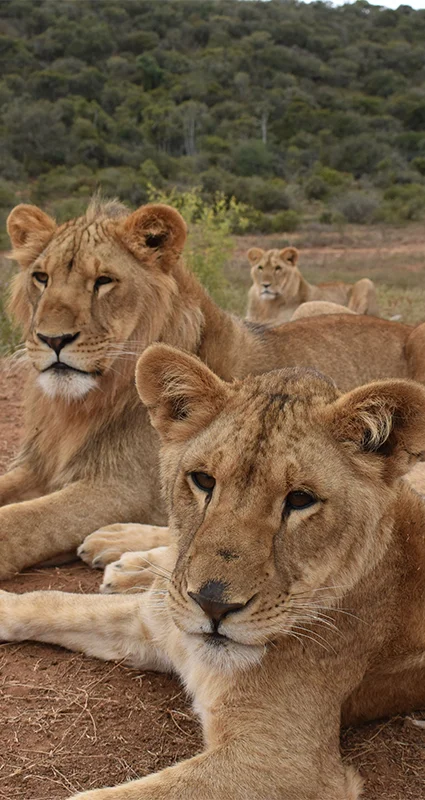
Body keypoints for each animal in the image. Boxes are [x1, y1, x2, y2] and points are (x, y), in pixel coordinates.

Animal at [1, 343, 425, 800]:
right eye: (203, 480)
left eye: (300, 500)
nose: (212, 605)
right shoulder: (154, 624)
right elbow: (52, 602)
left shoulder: (284, 763)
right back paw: (118, 549)